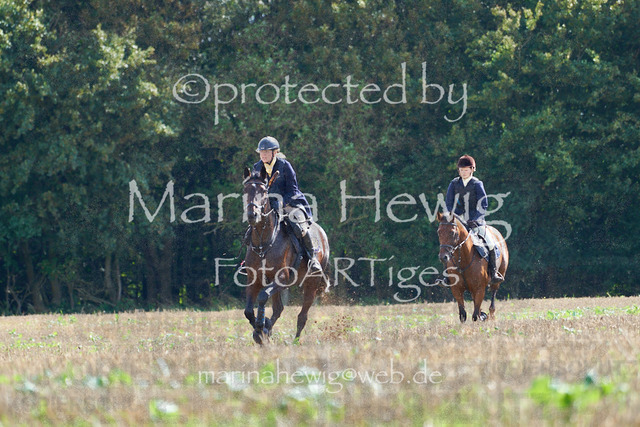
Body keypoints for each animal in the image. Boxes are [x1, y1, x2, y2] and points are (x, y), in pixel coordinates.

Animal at [242, 167, 330, 344]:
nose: (252, 215)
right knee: (278, 309)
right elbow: (248, 310)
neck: (263, 242)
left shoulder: (282, 277)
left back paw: (294, 341)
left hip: (311, 283)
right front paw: (260, 331)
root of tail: (322, 233)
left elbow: (262, 296)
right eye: (245, 190)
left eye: (263, 191)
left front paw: (261, 327)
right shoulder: (255, 279)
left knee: (302, 316)